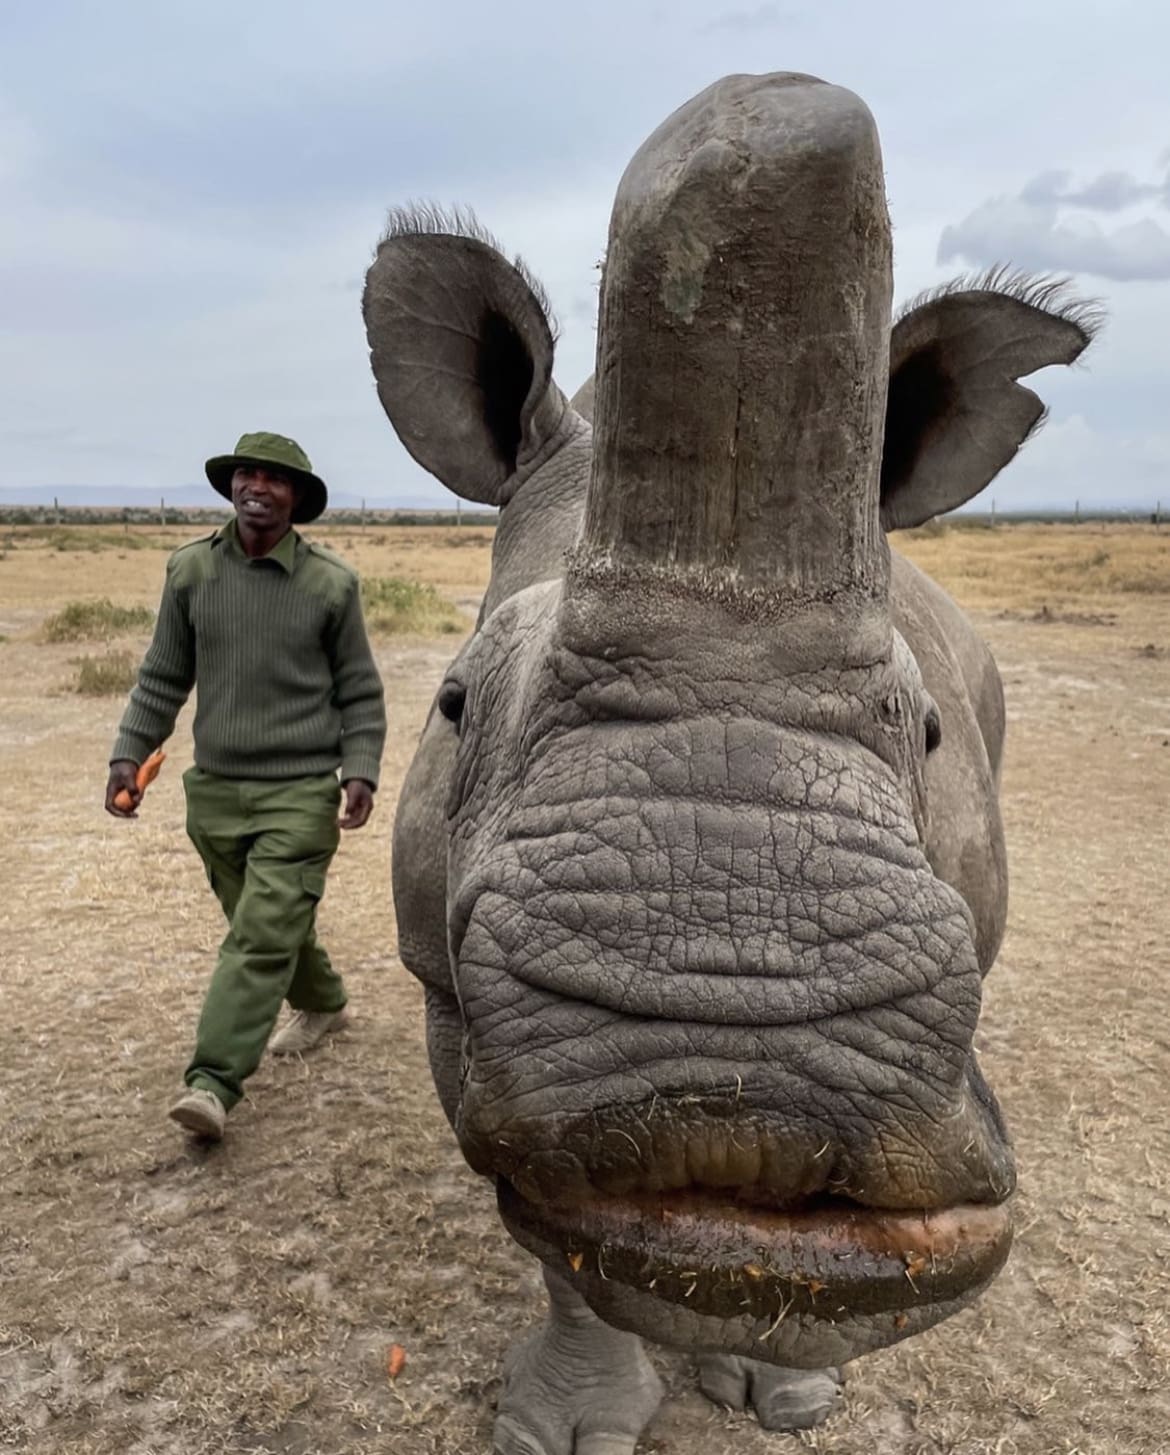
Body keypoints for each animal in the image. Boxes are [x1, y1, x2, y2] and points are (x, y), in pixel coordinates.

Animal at [363, 70, 1094, 1455]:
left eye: (928, 732)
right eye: (453, 702)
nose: (744, 1069)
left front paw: (787, 1387)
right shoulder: (441, 978)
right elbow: (562, 1240)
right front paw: (569, 1421)